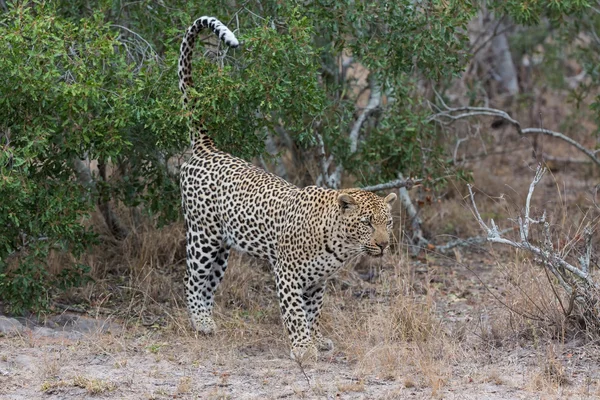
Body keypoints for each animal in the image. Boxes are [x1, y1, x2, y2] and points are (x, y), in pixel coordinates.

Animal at [176, 15, 396, 360]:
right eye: (366, 223)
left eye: (388, 223)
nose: (384, 245)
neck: (338, 244)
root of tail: (207, 147)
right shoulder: (288, 274)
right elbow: (295, 313)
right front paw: (303, 349)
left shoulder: (317, 282)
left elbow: (313, 311)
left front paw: (317, 339)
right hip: (203, 235)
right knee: (192, 278)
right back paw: (200, 323)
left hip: (224, 245)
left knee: (209, 282)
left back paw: (210, 322)